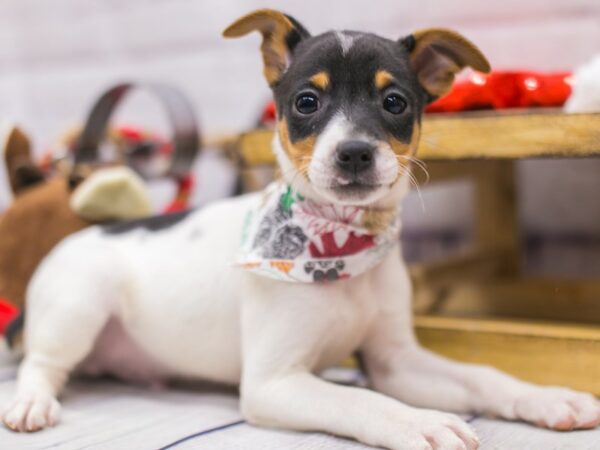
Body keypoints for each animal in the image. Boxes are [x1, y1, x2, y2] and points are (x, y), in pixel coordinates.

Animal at [2, 8, 596, 448]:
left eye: (394, 102)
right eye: (307, 102)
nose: (354, 152)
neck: (341, 240)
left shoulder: (396, 361)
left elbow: (480, 375)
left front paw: (547, 397)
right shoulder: (275, 382)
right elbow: (361, 398)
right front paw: (420, 422)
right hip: (80, 302)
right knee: (41, 361)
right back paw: (31, 401)